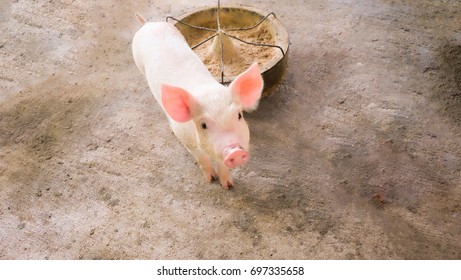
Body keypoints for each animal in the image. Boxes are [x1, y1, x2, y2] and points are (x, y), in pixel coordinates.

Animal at [132, 17, 262, 188]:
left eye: (239, 116)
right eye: (203, 125)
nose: (235, 151)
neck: (208, 92)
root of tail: (148, 24)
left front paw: (228, 186)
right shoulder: (184, 137)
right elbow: (201, 157)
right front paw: (210, 179)